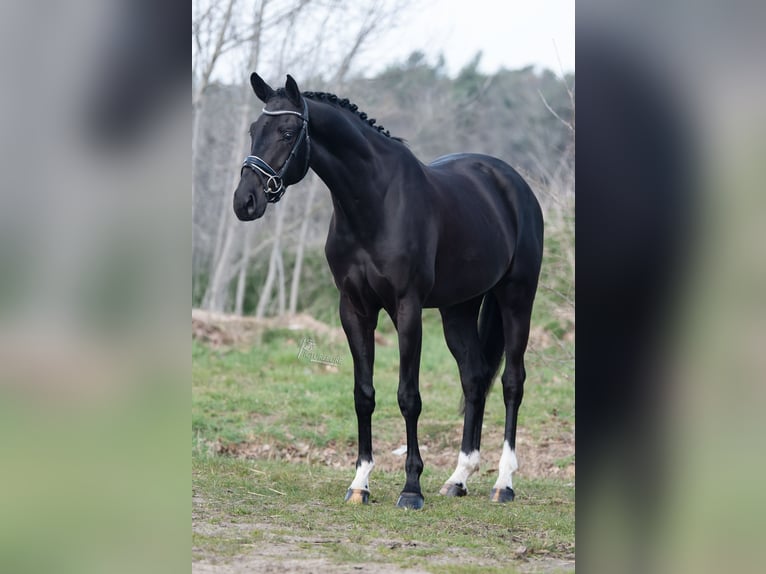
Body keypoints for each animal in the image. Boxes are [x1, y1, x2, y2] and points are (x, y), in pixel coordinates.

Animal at [233, 74, 544, 509]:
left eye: (288, 132)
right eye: (252, 130)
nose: (245, 201)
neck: (374, 202)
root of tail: (514, 184)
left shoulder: (407, 309)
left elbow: (408, 396)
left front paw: (411, 488)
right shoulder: (354, 310)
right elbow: (364, 394)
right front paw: (360, 483)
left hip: (517, 297)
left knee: (512, 382)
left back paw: (504, 483)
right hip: (459, 309)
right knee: (474, 378)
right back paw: (458, 477)